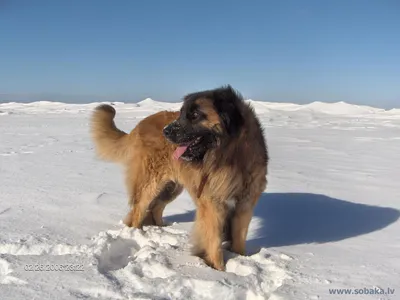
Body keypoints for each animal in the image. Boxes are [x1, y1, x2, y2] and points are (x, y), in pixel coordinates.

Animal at [89, 85, 268, 270]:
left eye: (195, 115)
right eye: (181, 113)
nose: (166, 131)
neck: (230, 156)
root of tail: (140, 125)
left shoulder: (245, 206)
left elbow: (239, 238)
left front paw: (239, 259)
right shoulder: (213, 205)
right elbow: (214, 242)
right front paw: (219, 270)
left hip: (171, 188)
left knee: (155, 207)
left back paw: (161, 229)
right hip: (150, 183)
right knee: (139, 210)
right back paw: (138, 235)